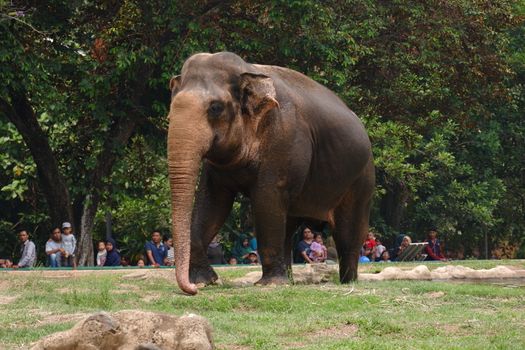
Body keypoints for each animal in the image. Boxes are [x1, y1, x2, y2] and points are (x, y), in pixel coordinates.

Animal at [166, 52, 374, 294]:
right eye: (171, 107)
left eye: (215, 108)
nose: (191, 289)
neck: (247, 71)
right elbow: (213, 202)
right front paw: (205, 280)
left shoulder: (283, 138)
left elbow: (266, 199)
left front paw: (270, 284)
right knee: (289, 226)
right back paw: (290, 280)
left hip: (362, 178)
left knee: (347, 231)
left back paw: (348, 281)